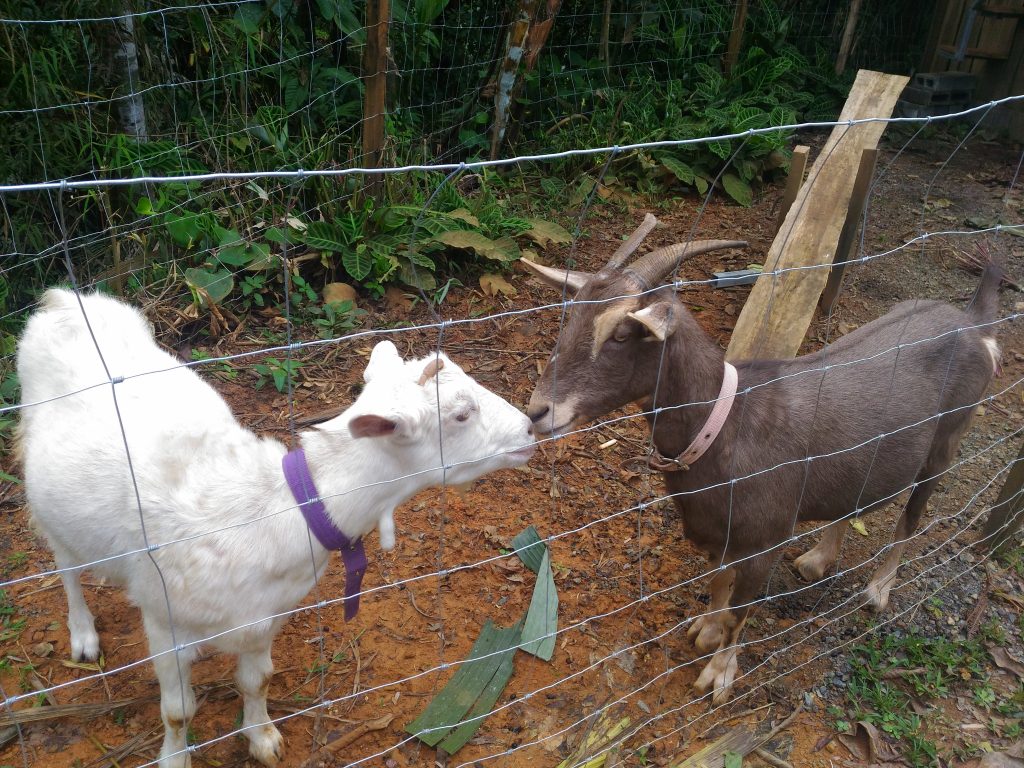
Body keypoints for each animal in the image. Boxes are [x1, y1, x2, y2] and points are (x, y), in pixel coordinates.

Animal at [18, 290, 536, 768]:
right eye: (461, 415)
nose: (531, 427)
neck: (269, 513)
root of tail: (66, 300)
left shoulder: (265, 615)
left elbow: (257, 680)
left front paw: (262, 738)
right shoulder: (162, 616)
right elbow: (177, 711)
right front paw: (174, 758)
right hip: (43, 494)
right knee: (65, 565)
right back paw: (83, 635)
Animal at [524, 217, 1003, 704]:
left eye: (621, 335)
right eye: (571, 319)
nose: (538, 411)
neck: (725, 427)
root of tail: (974, 326)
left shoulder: (764, 541)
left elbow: (740, 610)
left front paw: (718, 675)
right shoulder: (716, 534)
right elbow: (718, 586)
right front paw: (706, 630)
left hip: (947, 441)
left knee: (912, 516)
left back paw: (878, 590)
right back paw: (818, 559)